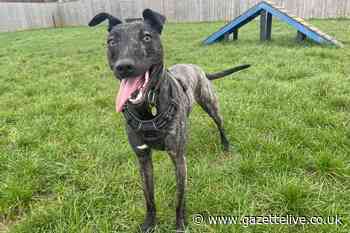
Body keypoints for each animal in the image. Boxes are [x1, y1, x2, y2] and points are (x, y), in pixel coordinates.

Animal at [89, 8, 250, 231]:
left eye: (147, 37)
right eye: (111, 41)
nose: (124, 66)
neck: (148, 107)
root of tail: (197, 67)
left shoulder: (178, 158)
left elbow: (179, 199)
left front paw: (180, 224)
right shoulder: (143, 158)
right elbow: (149, 198)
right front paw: (149, 224)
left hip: (211, 105)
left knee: (220, 125)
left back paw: (226, 145)